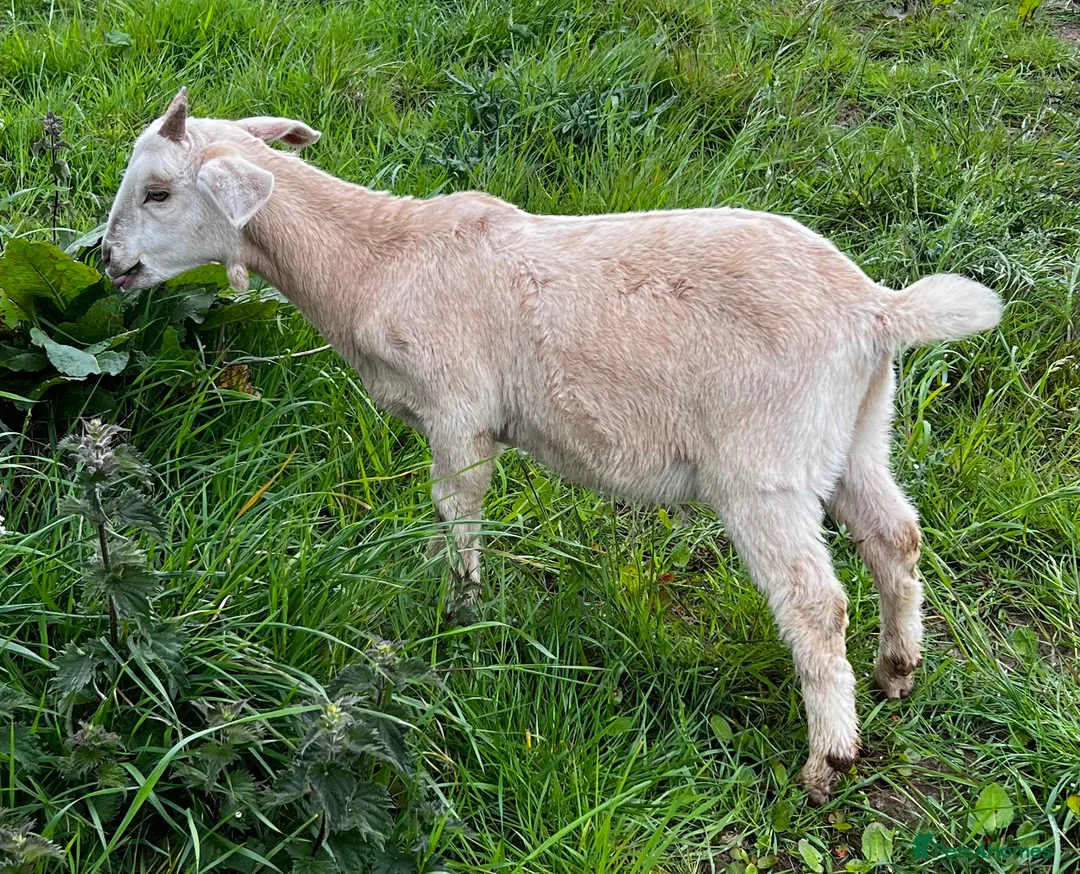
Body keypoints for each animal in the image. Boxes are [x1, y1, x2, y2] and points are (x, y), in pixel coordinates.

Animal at [103, 89, 1002, 805]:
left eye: (158, 191)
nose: (107, 261)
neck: (380, 257)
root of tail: (875, 310)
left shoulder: (458, 409)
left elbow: (457, 511)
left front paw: (457, 615)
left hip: (765, 464)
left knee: (816, 603)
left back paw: (828, 760)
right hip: (856, 430)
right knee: (895, 537)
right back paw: (897, 671)